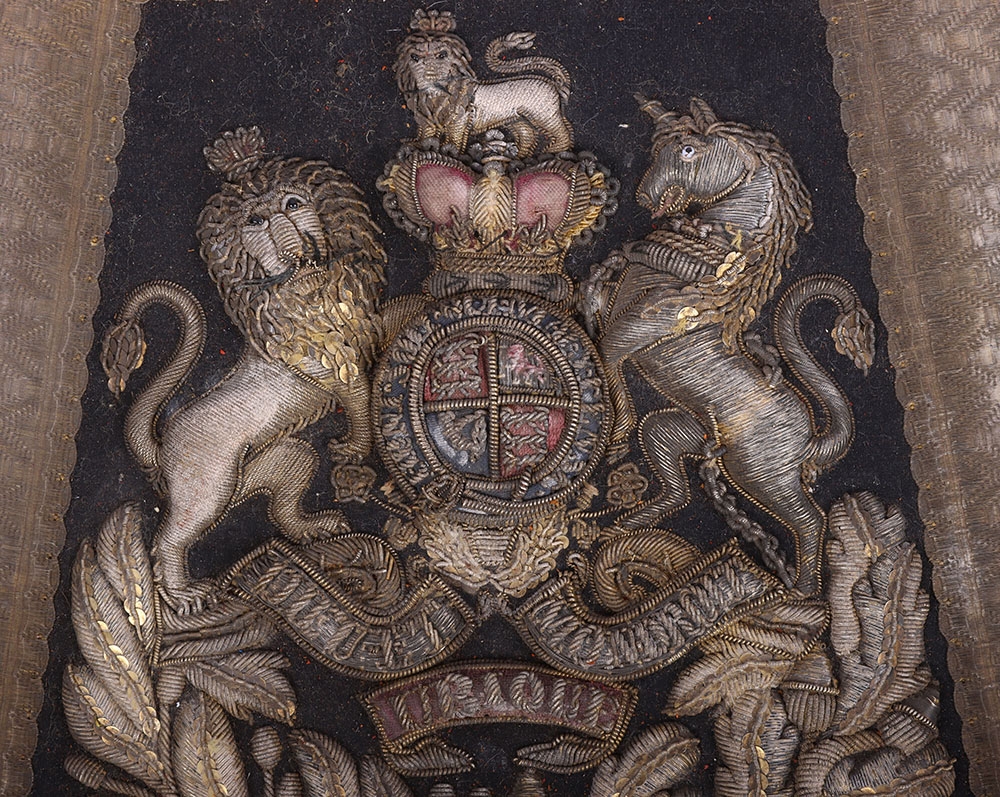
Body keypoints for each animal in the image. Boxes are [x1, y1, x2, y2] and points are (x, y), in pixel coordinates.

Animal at [101, 127, 386, 613]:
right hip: (207, 486)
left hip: (280, 461)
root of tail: (160, 448)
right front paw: (352, 447)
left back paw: (317, 527)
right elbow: (360, 400)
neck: (309, 294)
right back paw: (185, 594)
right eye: (254, 223)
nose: (291, 244)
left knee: (284, 504)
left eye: (293, 203)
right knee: (170, 538)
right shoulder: (330, 367)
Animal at [394, 9, 573, 156]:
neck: (436, 95)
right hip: (517, 120)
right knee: (527, 135)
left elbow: (454, 139)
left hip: (544, 115)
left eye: (442, 55)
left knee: (562, 133)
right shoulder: (427, 122)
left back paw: (552, 151)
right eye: (414, 57)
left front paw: (450, 152)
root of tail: (551, 82)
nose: (429, 73)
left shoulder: (459, 121)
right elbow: (426, 136)